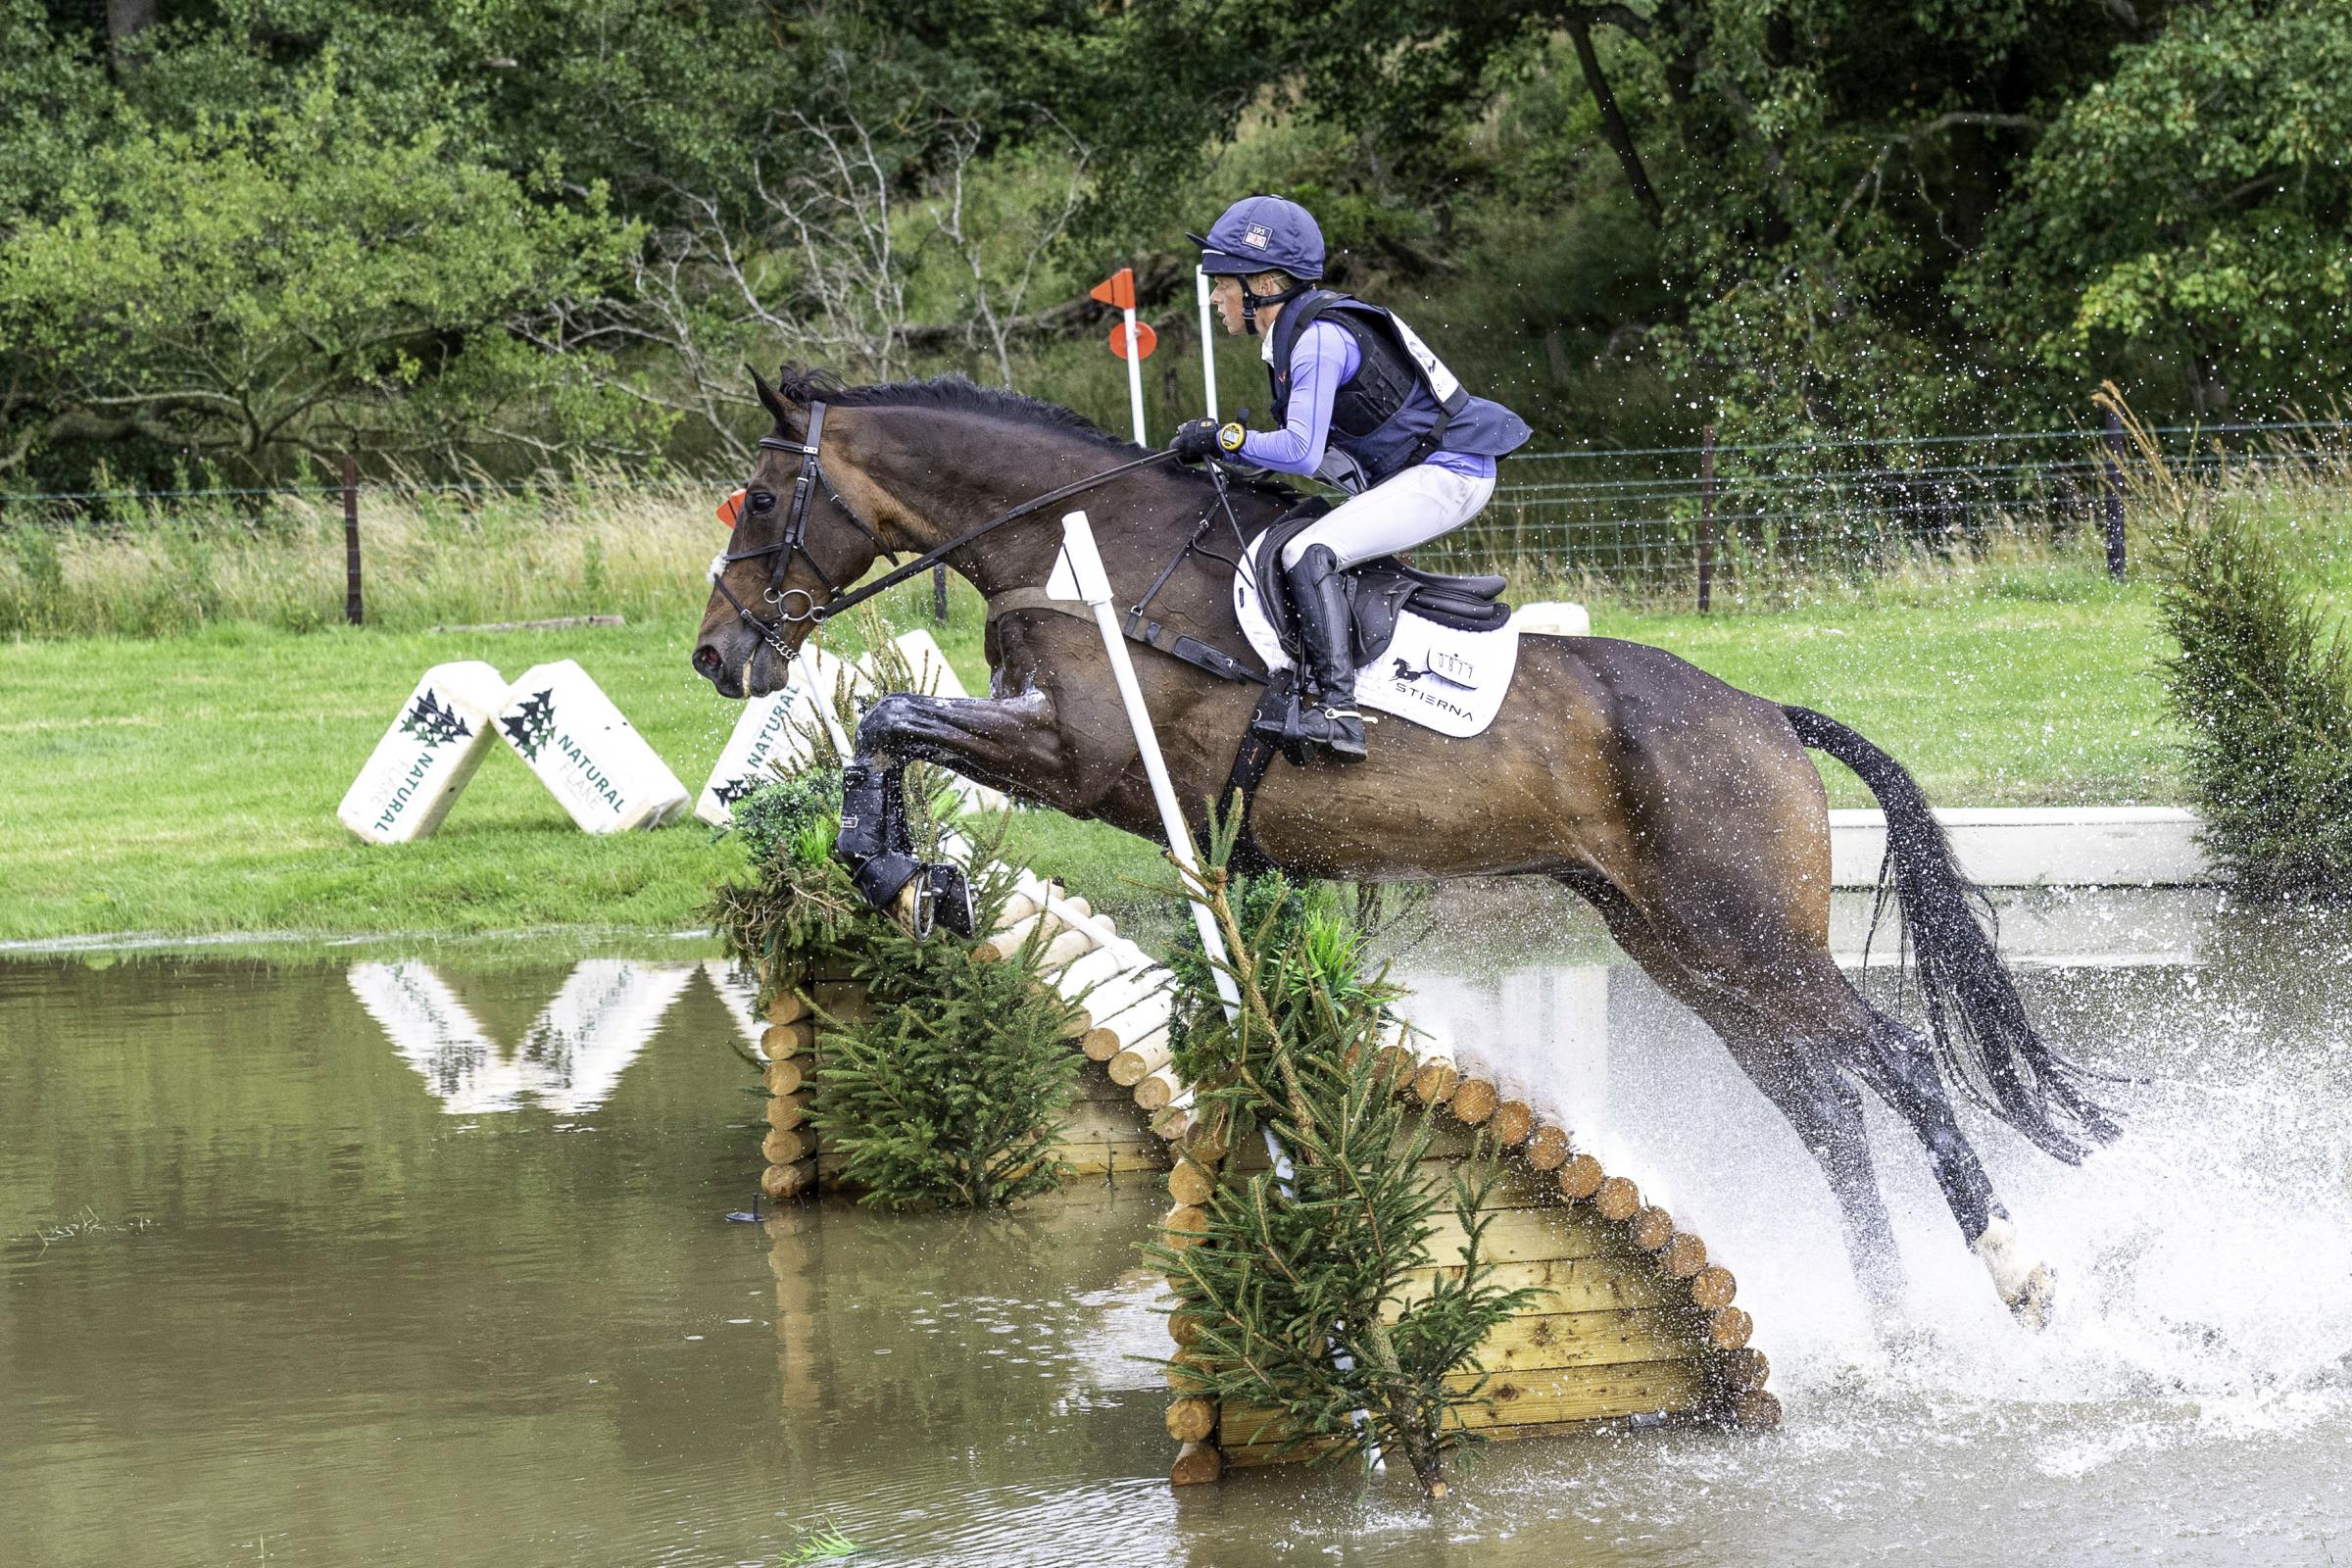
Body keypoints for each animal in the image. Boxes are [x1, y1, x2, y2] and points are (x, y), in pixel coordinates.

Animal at [686, 371, 2126, 1335]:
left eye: (759, 501)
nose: (717, 656)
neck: (1080, 549)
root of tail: (1766, 713)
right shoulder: (1072, 760)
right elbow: (892, 728)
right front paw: (908, 876)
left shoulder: (1081, 757)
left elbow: (890, 714)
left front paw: (904, 875)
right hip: (1684, 949)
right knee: (1826, 1108)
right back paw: (1890, 1324)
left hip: (1746, 934)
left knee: (1898, 1064)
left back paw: (2018, 1277)